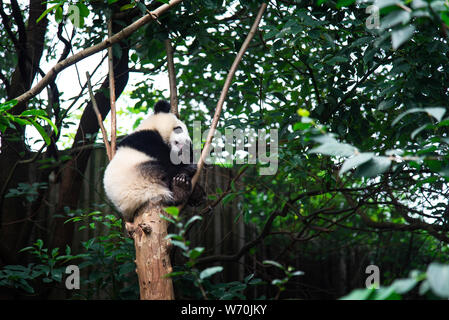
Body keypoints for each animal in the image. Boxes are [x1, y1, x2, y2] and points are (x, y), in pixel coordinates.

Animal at [103, 100, 205, 228]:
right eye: (178, 128)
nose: (187, 143)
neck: (151, 126)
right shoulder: (146, 139)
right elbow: (165, 157)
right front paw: (189, 166)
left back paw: (190, 190)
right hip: (141, 176)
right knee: (165, 171)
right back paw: (181, 186)